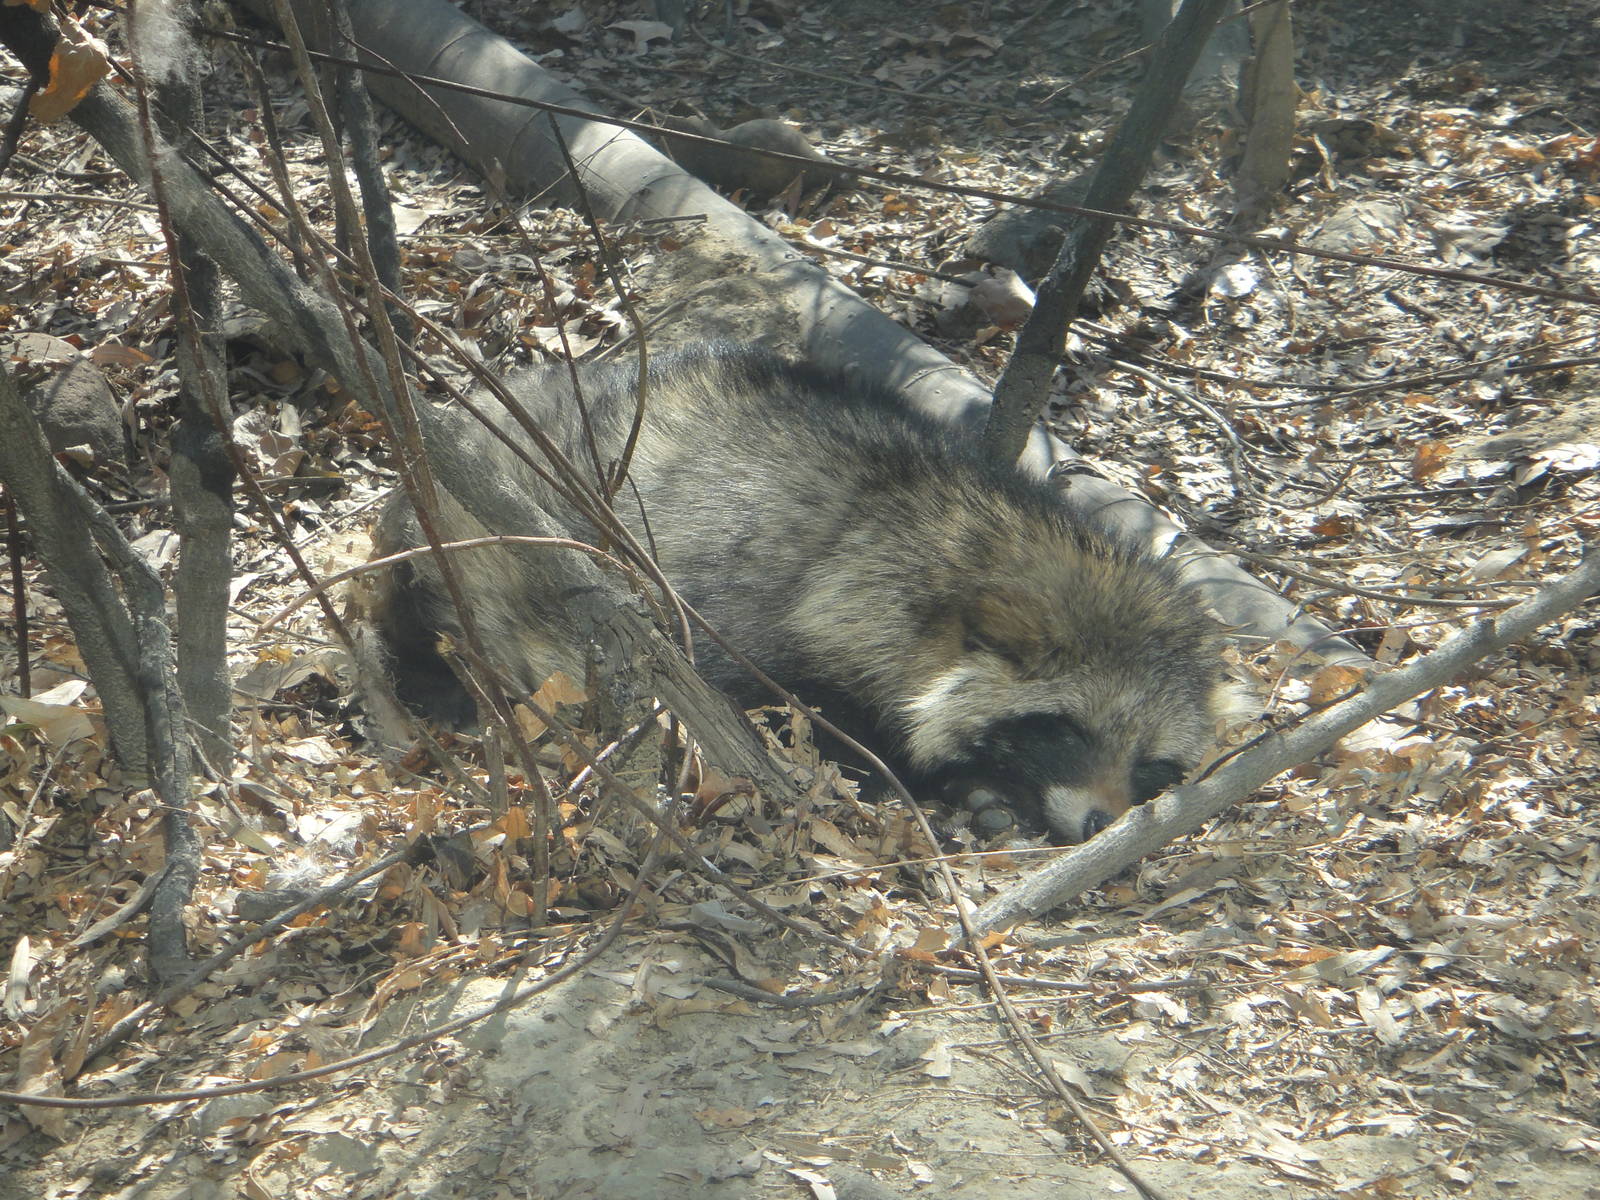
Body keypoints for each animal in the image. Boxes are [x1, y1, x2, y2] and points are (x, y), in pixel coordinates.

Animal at [366, 346, 1233, 843]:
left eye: (1151, 765)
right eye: (1068, 728)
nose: (1100, 825)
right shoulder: (722, 614)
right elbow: (767, 726)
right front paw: (935, 784)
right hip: (455, 517)